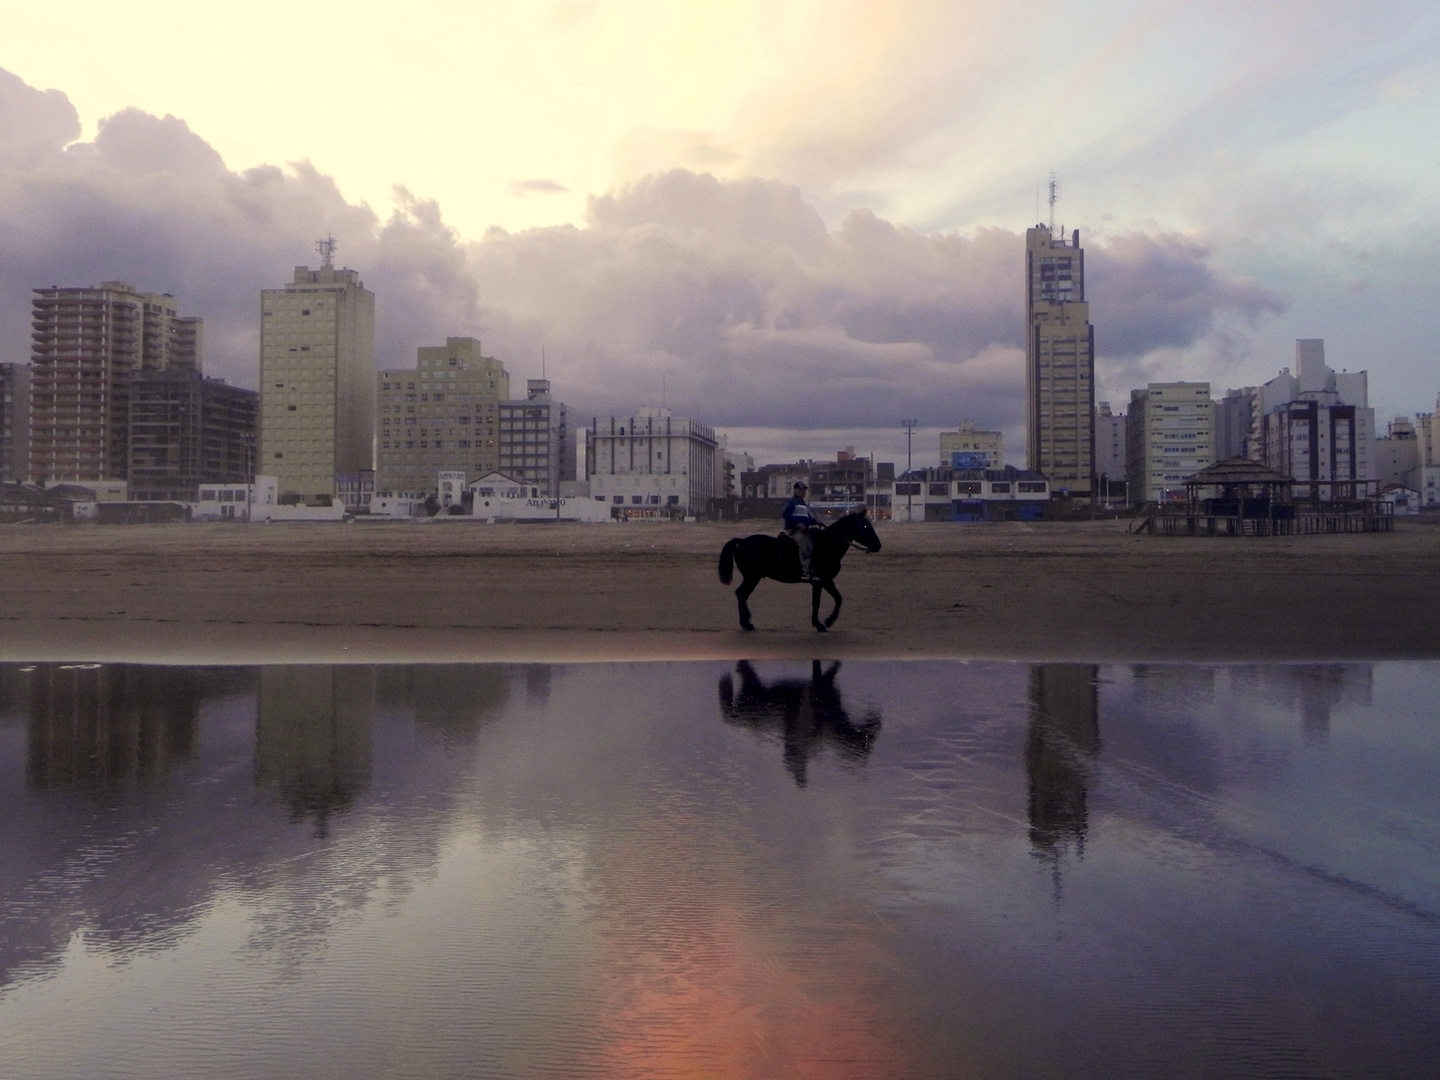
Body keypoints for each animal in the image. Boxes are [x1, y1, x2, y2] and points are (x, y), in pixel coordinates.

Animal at [717, 509, 881, 633]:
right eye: (864, 526)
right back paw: (746, 623)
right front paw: (824, 623)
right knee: (742, 594)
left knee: (741, 594)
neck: (827, 545)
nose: (878, 545)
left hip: (752, 577)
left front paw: (823, 622)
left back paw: (746, 622)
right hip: (752, 577)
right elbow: (824, 601)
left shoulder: (824, 581)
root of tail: (741, 541)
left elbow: (833, 599)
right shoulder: (822, 581)